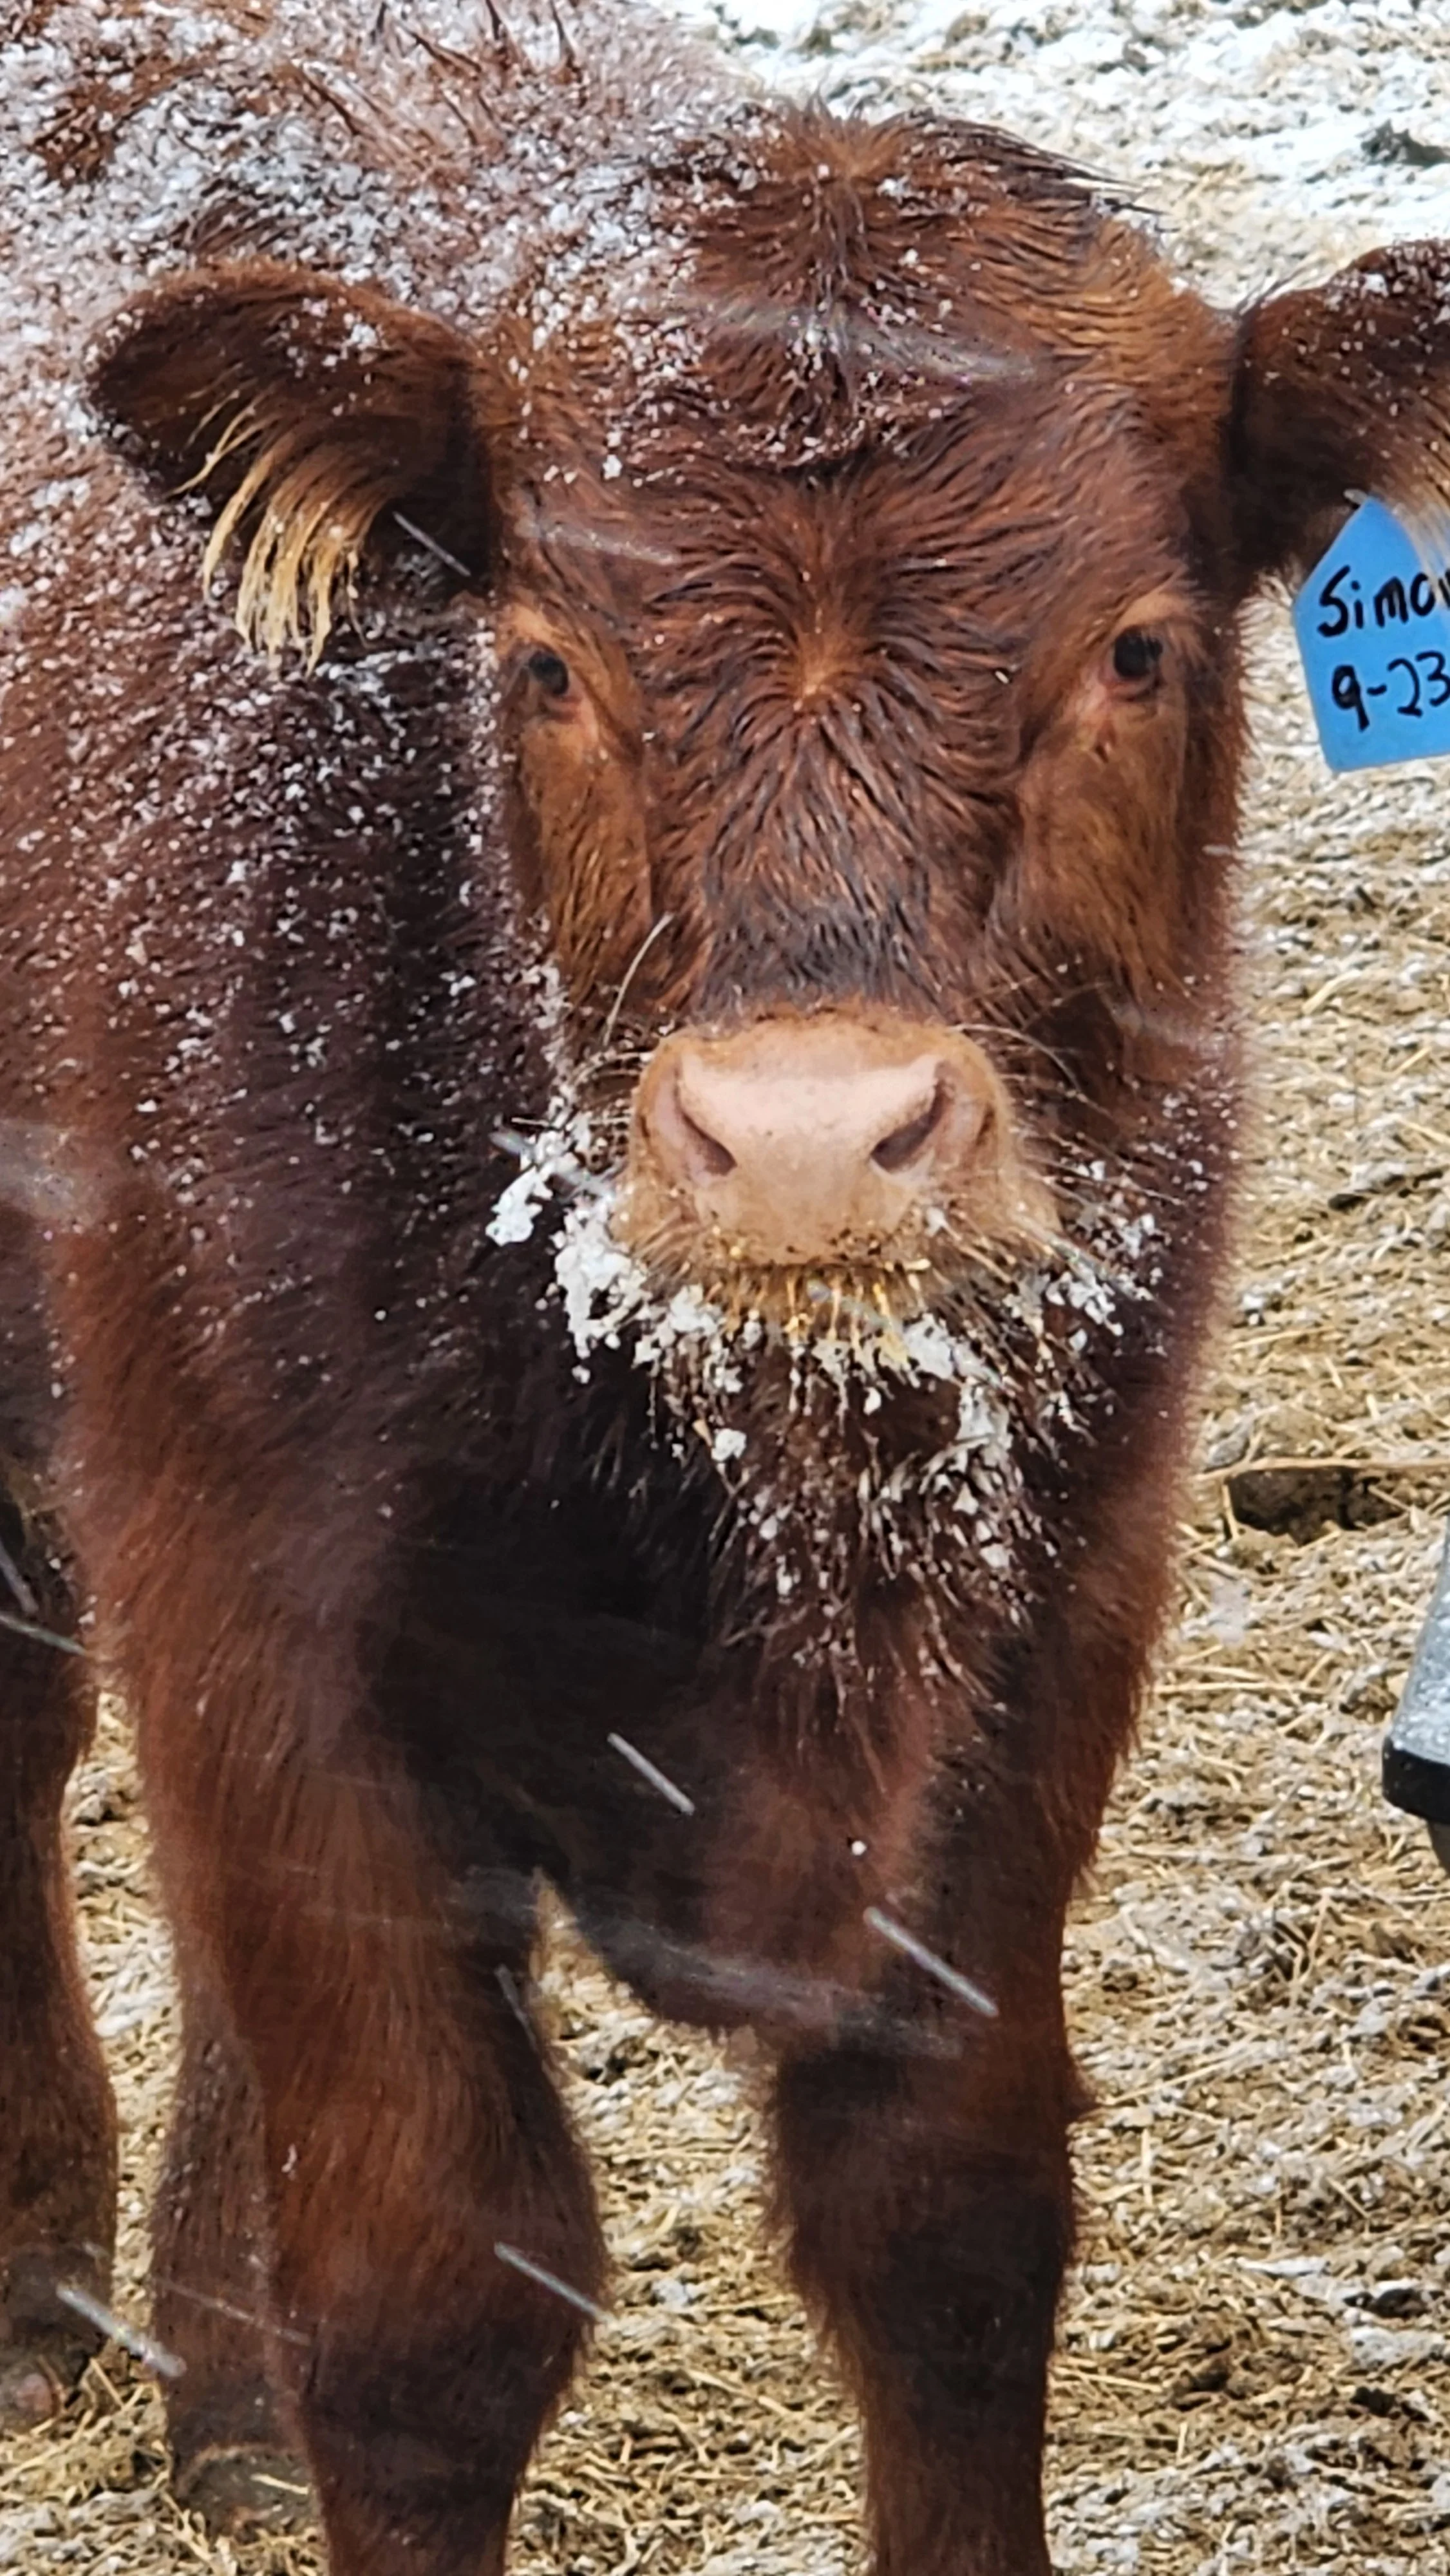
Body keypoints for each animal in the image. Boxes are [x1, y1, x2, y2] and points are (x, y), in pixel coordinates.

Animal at [2, 2, 1448, 2569]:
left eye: (1136, 644)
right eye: (542, 660)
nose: (801, 1140)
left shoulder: (1055, 1608)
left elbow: (948, 2227)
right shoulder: (253, 1598)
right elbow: (430, 2295)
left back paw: (216, 2374)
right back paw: (44, 2279)